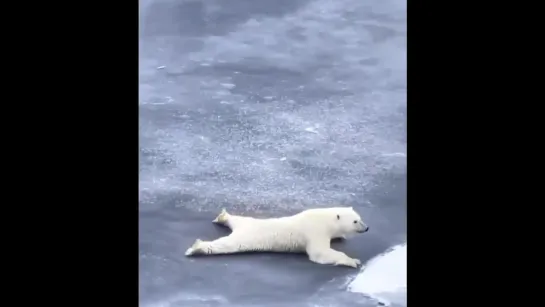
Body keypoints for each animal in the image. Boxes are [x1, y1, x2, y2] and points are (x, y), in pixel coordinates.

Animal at [184, 207, 370, 270]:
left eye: (360, 218)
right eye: (355, 221)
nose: (367, 227)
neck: (325, 218)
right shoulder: (315, 231)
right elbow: (320, 253)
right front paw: (353, 261)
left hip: (247, 222)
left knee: (238, 219)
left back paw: (223, 216)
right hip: (247, 236)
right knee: (227, 245)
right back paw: (197, 248)